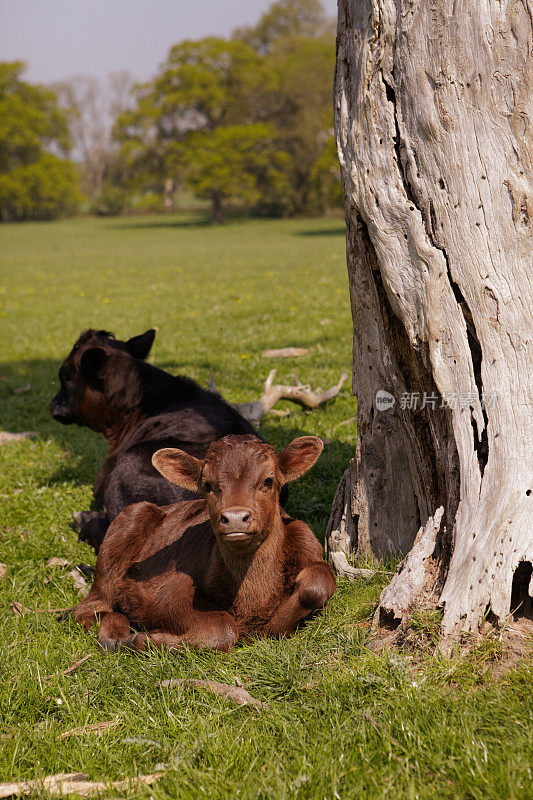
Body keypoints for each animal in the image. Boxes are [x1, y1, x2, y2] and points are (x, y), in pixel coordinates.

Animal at [72, 432, 334, 648]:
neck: (252, 595)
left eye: (268, 481)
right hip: (131, 518)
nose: (235, 518)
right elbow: (222, 628)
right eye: (208, 485)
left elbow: (318, 582)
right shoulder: (167, 595)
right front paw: (145, 640)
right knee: (91, 607)